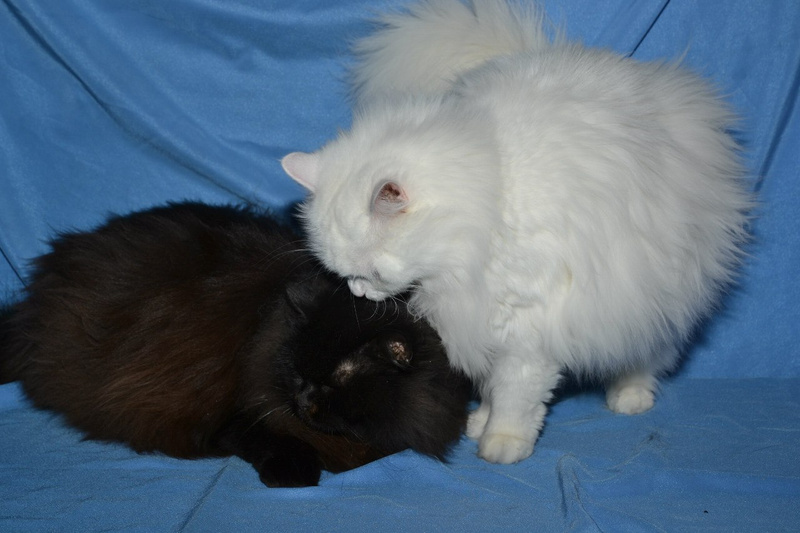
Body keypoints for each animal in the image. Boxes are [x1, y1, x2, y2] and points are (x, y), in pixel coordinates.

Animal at [0, 201, 471, 487]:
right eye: (298, 373)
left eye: (332, 384)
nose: (303, 401)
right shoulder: (232, 412)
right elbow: (266, 438)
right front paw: (295, 472)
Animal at [280, 0, 753, 464]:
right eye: (344, 276)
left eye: (374, 273)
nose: (358, 292)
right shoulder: (480, 327)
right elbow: (491, 389)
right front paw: (478, 423)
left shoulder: (526, 332)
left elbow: (516, 397)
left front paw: (503, 443)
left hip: (648, 289)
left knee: (648, 348)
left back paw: (630, 395)